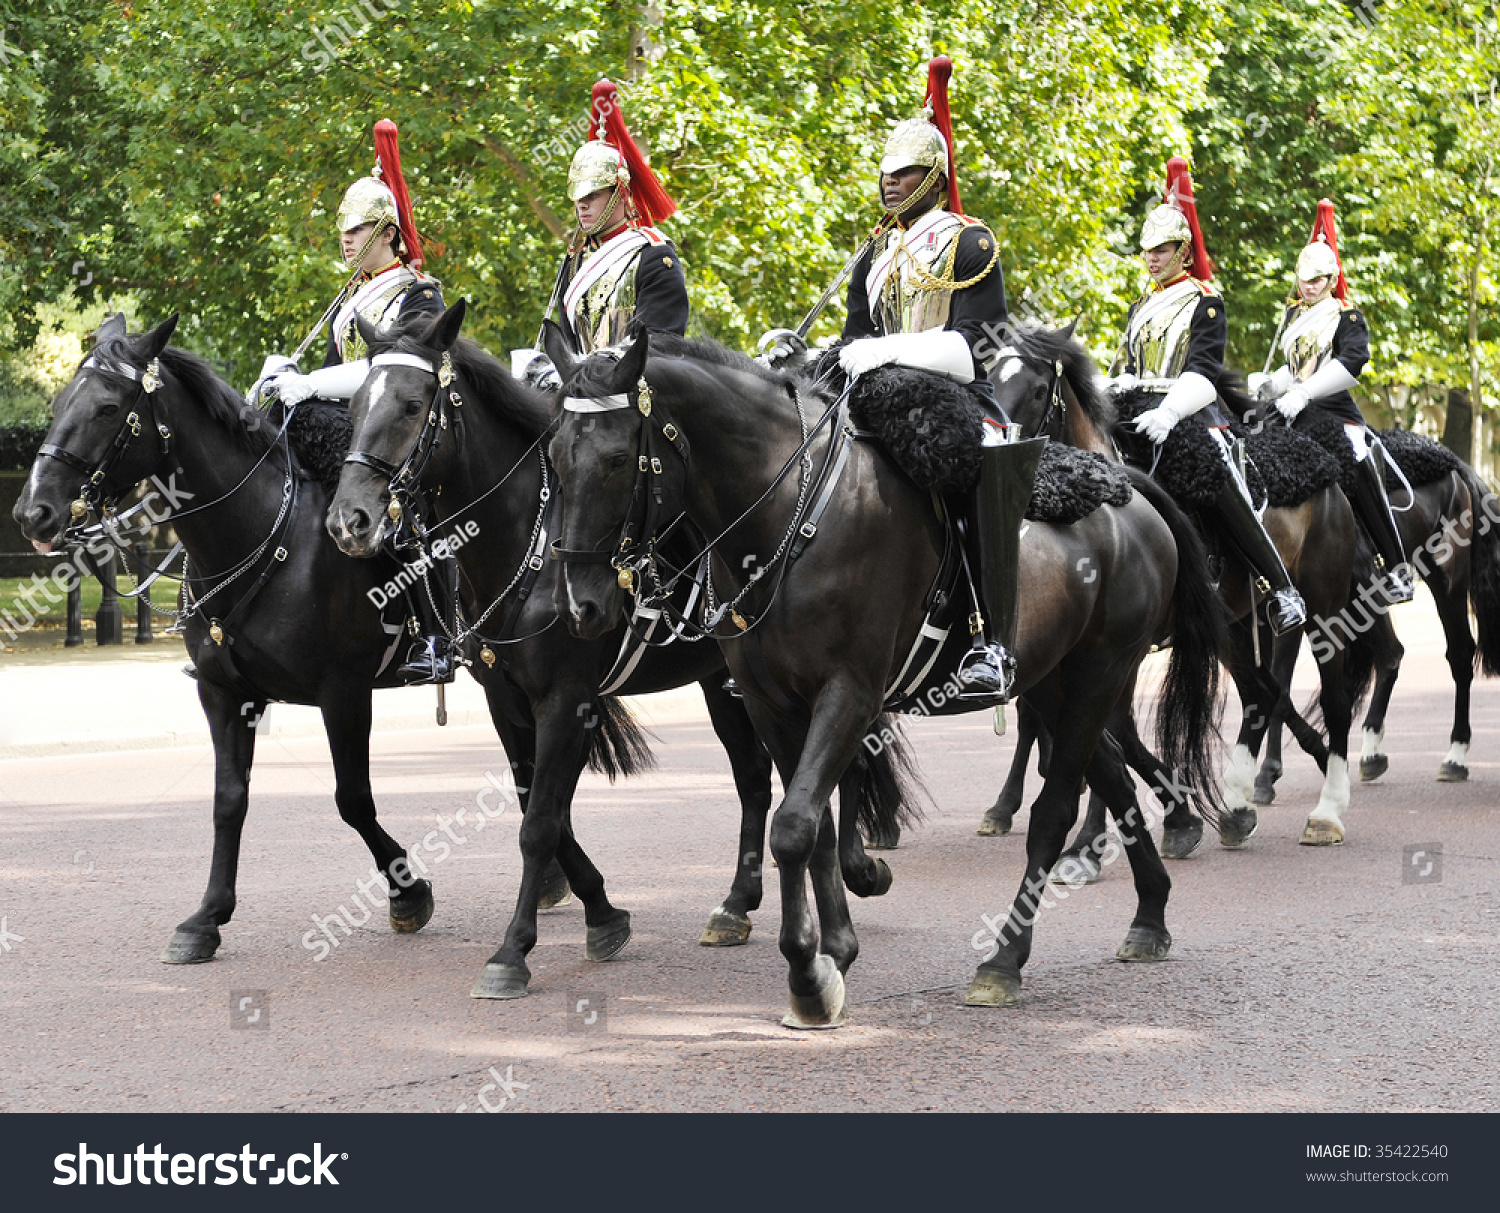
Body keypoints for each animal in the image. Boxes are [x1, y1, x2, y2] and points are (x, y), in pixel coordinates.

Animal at [13, 316, 444, 959]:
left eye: (109, 407)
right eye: (62, 400)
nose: (32, 512)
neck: (260, 533)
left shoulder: (344, 693)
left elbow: (353, 799)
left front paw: (408, 893)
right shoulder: (223, 693)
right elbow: (228, 800)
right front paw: (206, 917)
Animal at [325, 298, 912, 995]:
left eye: (413, 404)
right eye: (355, 406)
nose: (349, 521)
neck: (528, 535)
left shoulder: (567, 697)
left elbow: (539, 823)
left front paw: (514, 951)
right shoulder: (507, 699)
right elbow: (537, 806)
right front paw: (600, 910)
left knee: (840, 760)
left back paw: (857, 868)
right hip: (729, 680)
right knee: (755, 778)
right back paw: (738, 905)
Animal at [546, 328, 1224, 1019]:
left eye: (616, 460)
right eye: (553, 456)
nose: (581, 606)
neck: (793, 516)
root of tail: (1127, 489)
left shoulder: (849, 692)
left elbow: (793, 825)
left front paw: (808, 976)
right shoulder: (771, 702)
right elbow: (812, 823)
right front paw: (835, 952)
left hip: (1098, 672)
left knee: (1056, 808)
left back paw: (1004, 960)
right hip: (1052, 684)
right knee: (1110, 771)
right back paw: (1150, 915)